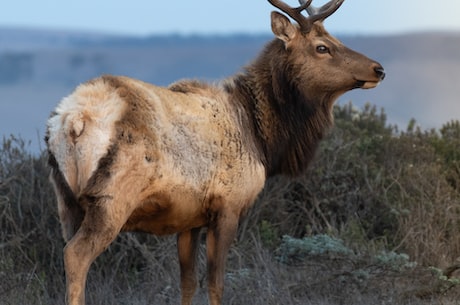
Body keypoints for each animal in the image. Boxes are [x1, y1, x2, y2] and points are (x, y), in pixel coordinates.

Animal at [45, 0, 384, 304]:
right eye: (321, 47)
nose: (378, 68)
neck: (262, 138)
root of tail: (73, 120)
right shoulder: (227, 207)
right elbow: (216, 284)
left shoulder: (188, 219)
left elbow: (188, 283)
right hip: (111, 197)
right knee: (76, 255)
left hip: (66, 201)